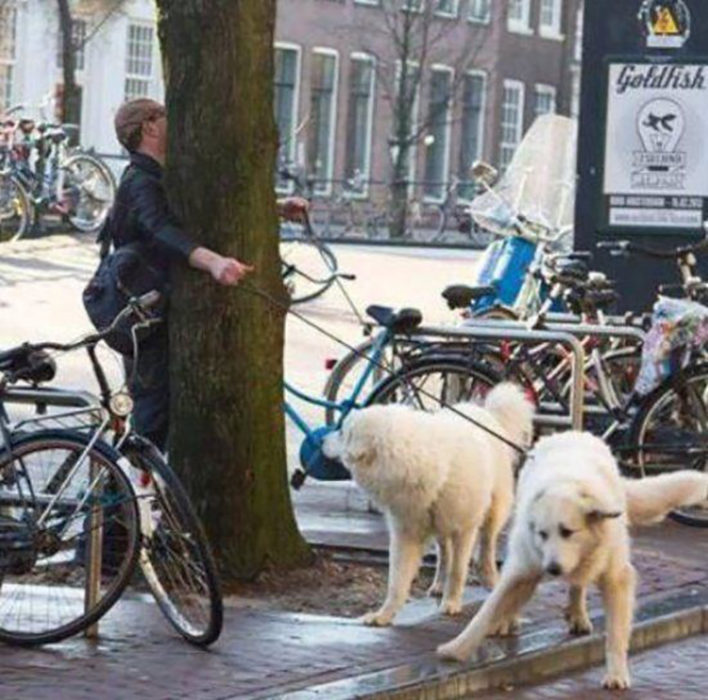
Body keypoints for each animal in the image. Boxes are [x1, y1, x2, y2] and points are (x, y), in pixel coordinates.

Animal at [320, 386, 532, 628]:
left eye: (342, 433)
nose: (321, 440)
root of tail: (484, 410)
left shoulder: (464, 528)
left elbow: (458, 570)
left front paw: (451, 603)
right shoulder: (406, 532)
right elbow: (396, 581)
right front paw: (383, 615)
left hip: (492, 509)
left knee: (486, 544)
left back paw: (489, 578)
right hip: (440, 523)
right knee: (444, 554)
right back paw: (439, 584)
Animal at [436, 432, 708, 688]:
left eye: (567, 532)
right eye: (542, 534)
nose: (552, 568)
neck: (567, 483)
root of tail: (570, 433)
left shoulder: (617, 578)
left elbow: (616, 634)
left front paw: (616, 674)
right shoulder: (523, 569)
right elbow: (487, 611)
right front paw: (456, 648)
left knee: (578, 585)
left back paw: (577, 614)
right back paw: (508, 621)